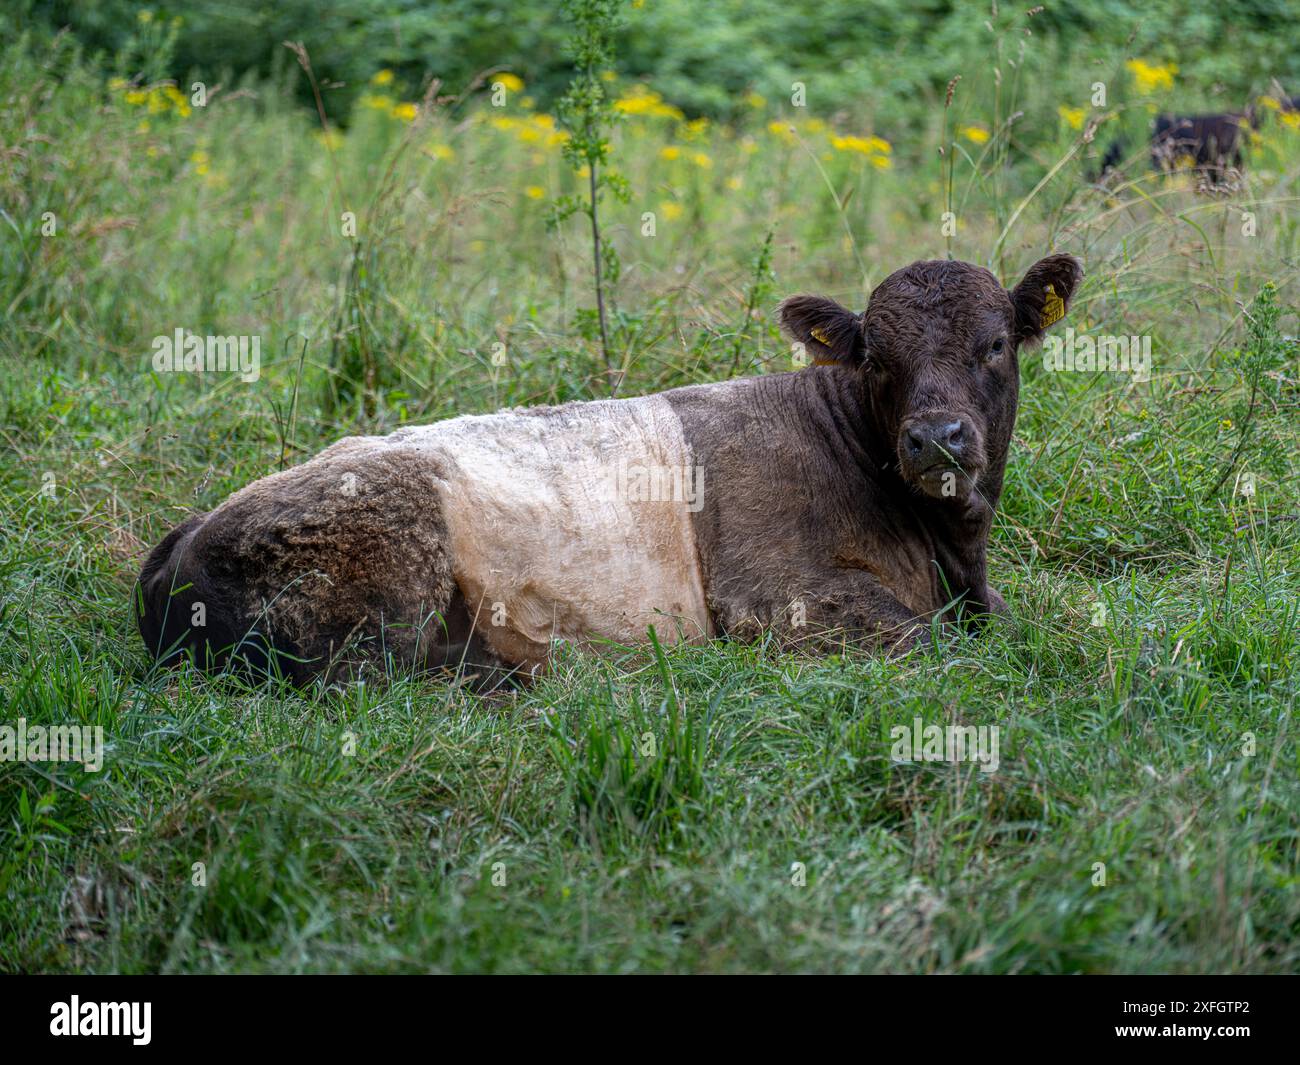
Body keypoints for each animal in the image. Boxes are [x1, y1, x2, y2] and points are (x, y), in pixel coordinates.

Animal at [137, 253, 1081, 686]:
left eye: (995, 345)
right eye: (878, 360)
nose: (937, 438)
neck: (946, 547)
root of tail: (189, 529)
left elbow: (1024, 631)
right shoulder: (780, 598)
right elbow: (940, 645)